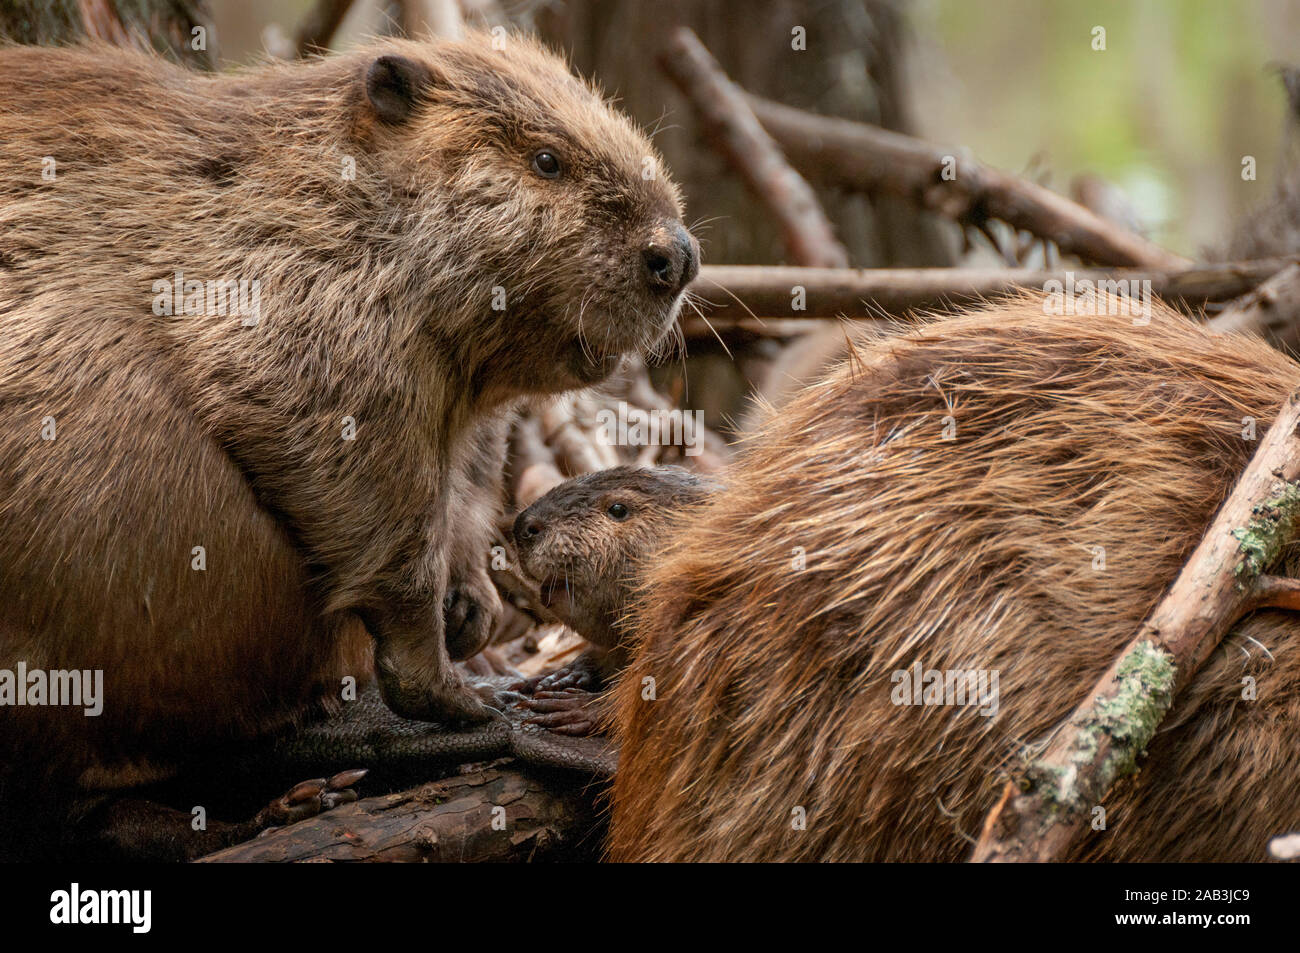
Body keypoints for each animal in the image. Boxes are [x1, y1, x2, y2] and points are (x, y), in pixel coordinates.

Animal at [0, 31, 702, 826]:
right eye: (547, 160)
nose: (677, 256)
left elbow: (467, 473)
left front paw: (471, 613)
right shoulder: (296, 294)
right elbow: (338, 450)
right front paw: (451, 689)